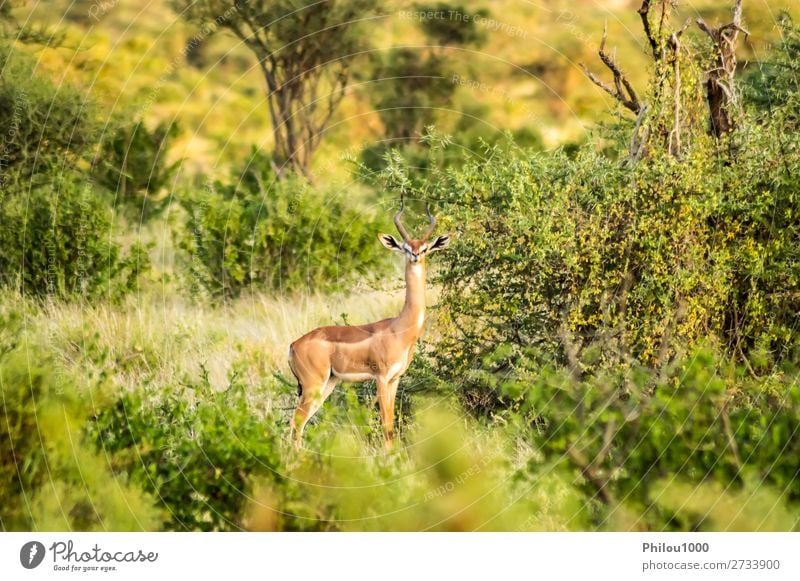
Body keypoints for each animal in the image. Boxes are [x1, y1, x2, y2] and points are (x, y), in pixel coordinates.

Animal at [288, 203, 450, 448]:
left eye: (424, 248)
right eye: (405, 247)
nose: (414, 256)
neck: (399, 329)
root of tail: (293, 345)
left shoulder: (395, 379)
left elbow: (391, 423)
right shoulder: (381, 378)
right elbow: (385, 425)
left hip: (327, 384)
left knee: (300, 422)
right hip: (312, 385)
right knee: (296, 422)